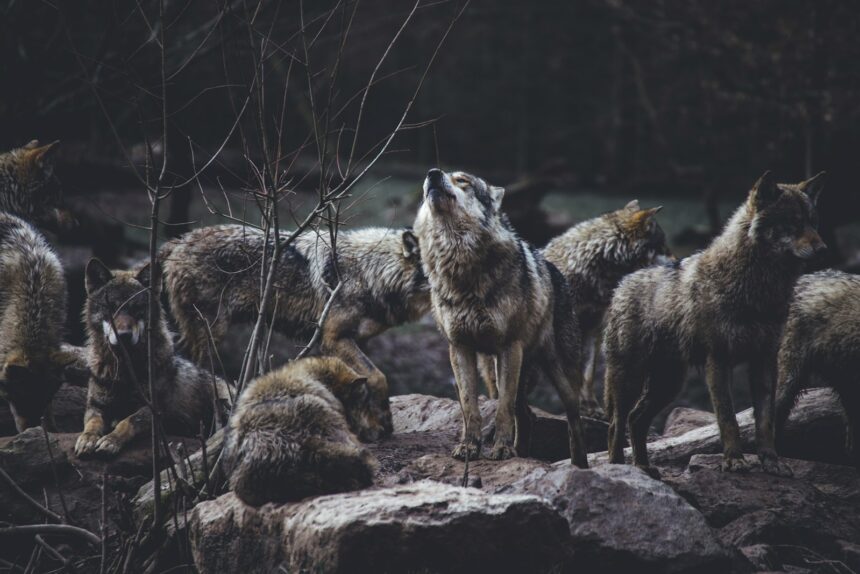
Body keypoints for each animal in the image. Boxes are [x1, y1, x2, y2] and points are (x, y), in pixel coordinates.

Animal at [74, 259, 232, 457]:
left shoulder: (155, 410)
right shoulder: (96, 406)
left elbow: (127, 421)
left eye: (137, 309)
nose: (124, 335)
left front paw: (111, 440)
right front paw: (87, 439)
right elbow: (92, 423)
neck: (125, 371)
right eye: (111, 308)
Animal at [159, 224, 430, 440]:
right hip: (210, 335)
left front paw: (373, 425)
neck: (370, 271)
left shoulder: (358, 340)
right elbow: (378, 377)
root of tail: (179, 241)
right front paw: (383, 421)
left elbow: (364, 384)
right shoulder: (334, 338)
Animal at [413, 168, 587, 466]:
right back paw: (524, 454)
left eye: (463, 180)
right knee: (527, 415)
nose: (433, 174)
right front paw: (469, 447)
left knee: (574, 421)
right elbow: (469, 407)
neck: (459, 265)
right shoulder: (459, 348)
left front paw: (502, 450)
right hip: (502, 369)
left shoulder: (508, 347)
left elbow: (502, 409)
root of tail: (556, 271)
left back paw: (579, 466)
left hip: (558, 376)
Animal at [604, 171, 826, 475]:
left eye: (813, 222)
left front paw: (771, 462)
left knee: (636, 419)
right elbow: (727, 418)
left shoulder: (764, 360)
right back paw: (619, 468)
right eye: (792, 222)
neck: (757, 288)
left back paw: (643, 468)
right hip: (630, 379)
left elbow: (765, 422)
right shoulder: (718, 360)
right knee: (617, 423)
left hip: (668, 384)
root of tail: (622, 283)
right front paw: (734, 460)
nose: (823, 248)